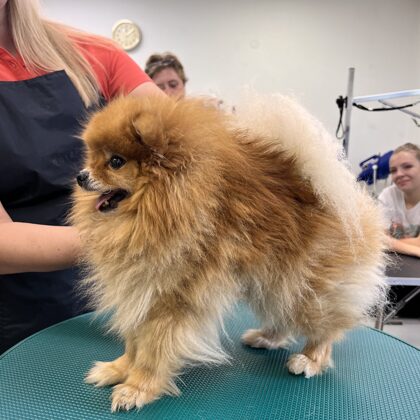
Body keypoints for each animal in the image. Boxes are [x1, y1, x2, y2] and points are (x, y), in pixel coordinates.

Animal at [71, 93, 387, 411]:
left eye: (116, 162)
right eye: (92, 158)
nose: (81, 176)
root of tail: (340, 197)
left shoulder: (169, 298)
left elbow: (152, 349)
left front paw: (137, 388)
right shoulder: (138, 289)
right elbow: (134, 341)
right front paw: (119, 368)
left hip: (308, 287)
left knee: (324, 327)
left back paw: (309, 359)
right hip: (275, 281)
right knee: (283, 312)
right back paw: (266, 337)